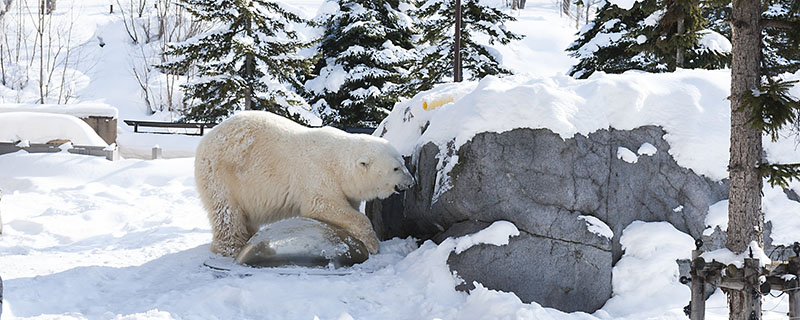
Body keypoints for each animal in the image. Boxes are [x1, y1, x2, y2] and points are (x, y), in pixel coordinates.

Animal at [196, 111, 416, 256]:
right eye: (396, 168)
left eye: (403, 162)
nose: (412, 182)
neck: (337, 163)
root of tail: (206, 139)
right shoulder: (317, 175)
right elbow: (323, 205)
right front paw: (373, 244)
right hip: (222, 175)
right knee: (227, 213)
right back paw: (231, 247)